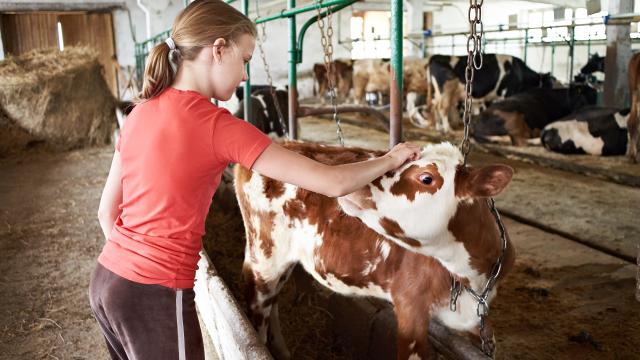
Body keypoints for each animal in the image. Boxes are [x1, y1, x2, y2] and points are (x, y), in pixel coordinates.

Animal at [235, 141, 516, 360]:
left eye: (426, 177)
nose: (356, 182)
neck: (470, 277)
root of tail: (282, 142)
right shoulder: (410, 307)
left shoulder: (476, 322)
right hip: (264, 256)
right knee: (259, 308)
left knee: (273, 302)